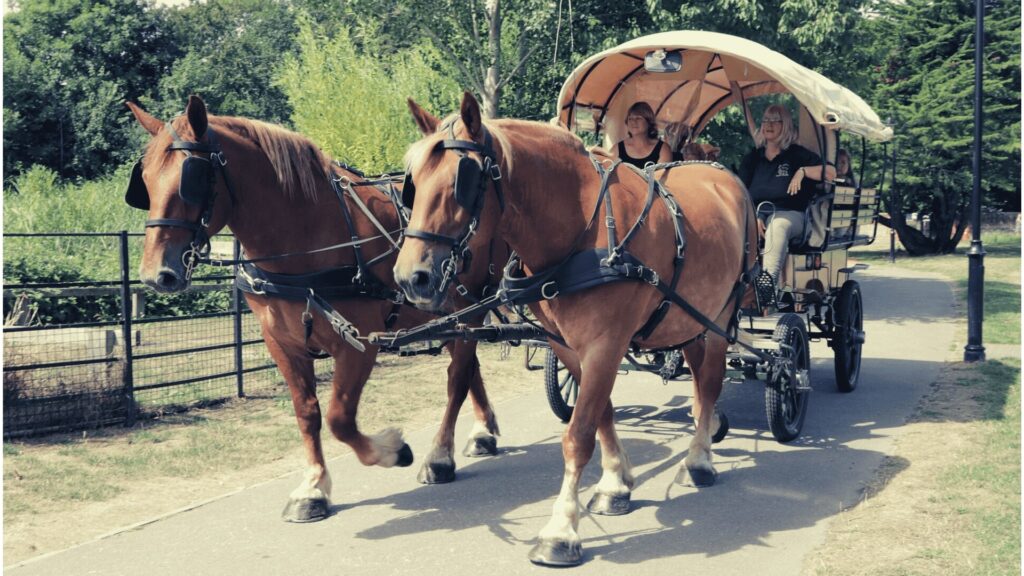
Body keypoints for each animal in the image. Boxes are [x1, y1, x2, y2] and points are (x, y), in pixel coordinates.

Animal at [128, 95, 507, 520]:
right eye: (144, 181)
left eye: (191, 179)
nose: (155, 275)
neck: (308, 232)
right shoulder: (282, 343)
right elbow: (307, 413)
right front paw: (312, 487)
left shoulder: (359, 344)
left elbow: (340, 418)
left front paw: (391, 450)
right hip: (447, 313)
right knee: (468, 368)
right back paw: (483, 432)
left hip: (470, 305)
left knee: (457, 377)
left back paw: (440, 456)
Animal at [399, 91, 761, 561]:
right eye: (413, 183)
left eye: (462, 181)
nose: (411, 278)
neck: (581, 231)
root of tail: (722, 175)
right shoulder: (568, 344)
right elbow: (600, 413)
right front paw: (615, 483)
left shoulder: (606, 343)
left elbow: (577, 435)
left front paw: (561, 530)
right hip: (687, 315)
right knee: (699, 379)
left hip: (720, 314)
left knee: (712, 380)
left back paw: (699, 460)